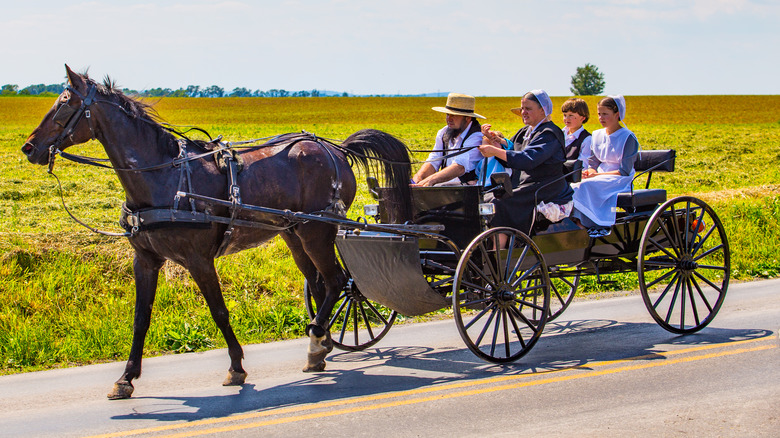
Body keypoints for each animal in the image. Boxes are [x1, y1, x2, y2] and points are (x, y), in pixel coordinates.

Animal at [19, 66, 414, 400]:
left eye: (64, 103)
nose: (28, 147)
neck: (163, 177)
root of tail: (335, 148)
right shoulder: (145, 259)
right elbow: (140, 318)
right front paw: (126, 378)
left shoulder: (198, 259)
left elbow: (219, 311)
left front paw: (236, 367)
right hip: (294, 233)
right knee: (319, 285)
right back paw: (321, 346)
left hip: (318, 229)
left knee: (337, 282)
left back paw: (318, 340)